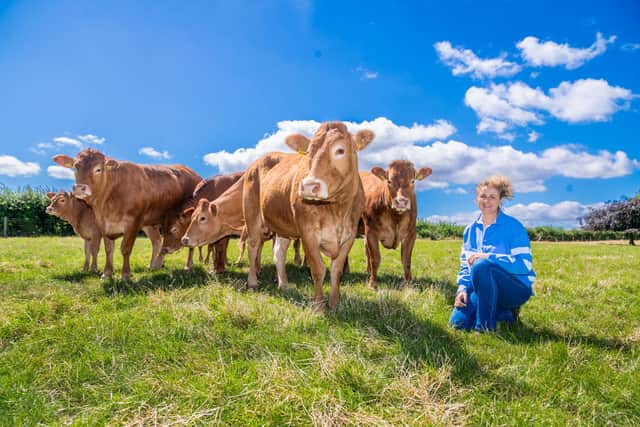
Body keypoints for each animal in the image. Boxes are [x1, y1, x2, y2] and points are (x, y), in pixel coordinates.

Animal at [53, 149, 202, 280]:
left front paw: (125, 275)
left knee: (189, 243)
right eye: (75, 167)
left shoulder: (133, 223)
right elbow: (108, 249)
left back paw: (188, 266)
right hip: (150, 223)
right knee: (157, 241)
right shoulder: (103, 224)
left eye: (98, 169)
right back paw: (155, 265)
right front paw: (107, 273)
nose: (79, 188)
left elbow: (125, 248)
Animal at [242, 121, 374, 308]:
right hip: (252, 213)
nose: (310, 186)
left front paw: (334, 302)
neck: (337, 210)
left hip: (283, 226)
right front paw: (319, 305)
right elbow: (318, 269)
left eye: (340, 150)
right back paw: (253, 281)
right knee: (253, 245)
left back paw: (283, 284)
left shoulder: (350, 235)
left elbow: (337, 270)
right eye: (309, 152)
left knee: (278, 253)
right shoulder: (307, 233)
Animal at [360, 160, 432, 289]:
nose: (401, 201)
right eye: (389, 181)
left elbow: (406, 260)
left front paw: (409, 282)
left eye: (413, 181)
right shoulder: (370, 232)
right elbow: (375, 259)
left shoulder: (411, 234)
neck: (396, 217)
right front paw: (372, 284)